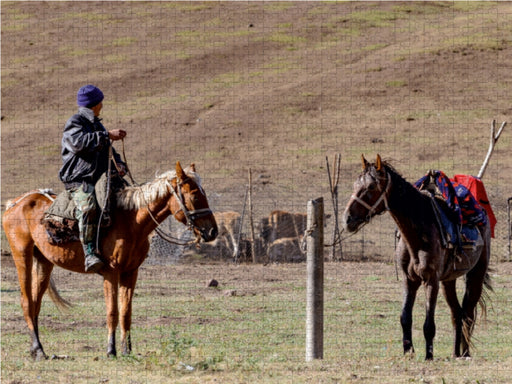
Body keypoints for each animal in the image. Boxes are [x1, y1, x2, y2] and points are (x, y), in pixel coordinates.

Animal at [2, 161, 218, 360]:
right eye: (194, 196)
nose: (212, 231)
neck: (131, 222)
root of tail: (15, 202)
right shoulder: (110, 272)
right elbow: (112, 311)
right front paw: (111, 350)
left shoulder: (130, 272)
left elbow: (126, 312)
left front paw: (127, 350)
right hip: (22, 254)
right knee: (26, 301)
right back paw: (38, 349)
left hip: (44, 262)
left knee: (35, 303)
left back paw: (37, 349)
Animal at [342, 154, 490, 358]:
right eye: (355, 185)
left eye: (371, 186)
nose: (347, 219)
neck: (417, 234)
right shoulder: (409, 280)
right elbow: (405, 317)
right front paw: (408, 352)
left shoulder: (431, 281)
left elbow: (429, 325)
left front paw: (428, 356)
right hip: (448, 281)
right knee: (457, 314)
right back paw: (455, 354)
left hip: (476, 274)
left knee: (467, 314)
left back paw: (465, 353)